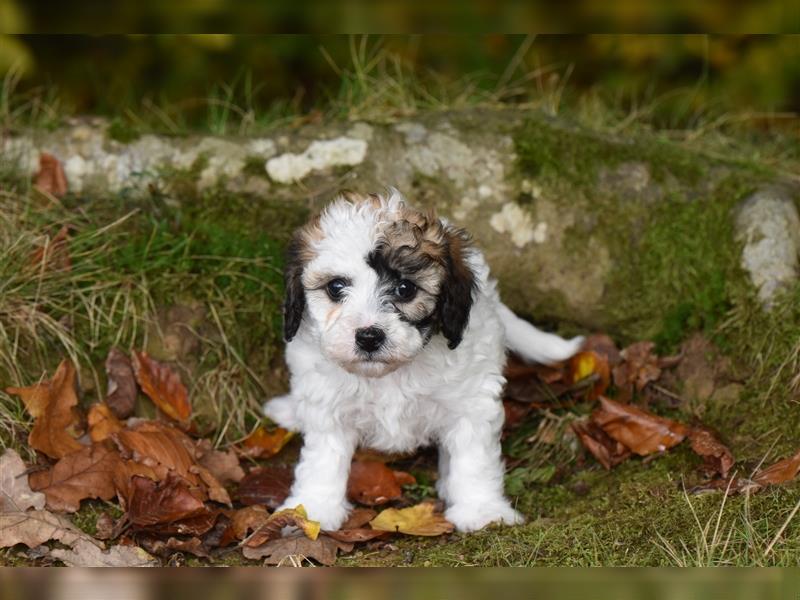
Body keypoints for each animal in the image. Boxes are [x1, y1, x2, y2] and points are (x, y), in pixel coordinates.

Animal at [262, 190, 580, 532]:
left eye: (405, 288)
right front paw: (312, 509)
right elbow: (322, 459)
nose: (369, 337)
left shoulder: (472, 399)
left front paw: (482, 509)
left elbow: (474, 457)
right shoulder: (328, 404)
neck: (391, 374)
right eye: (336, 287)